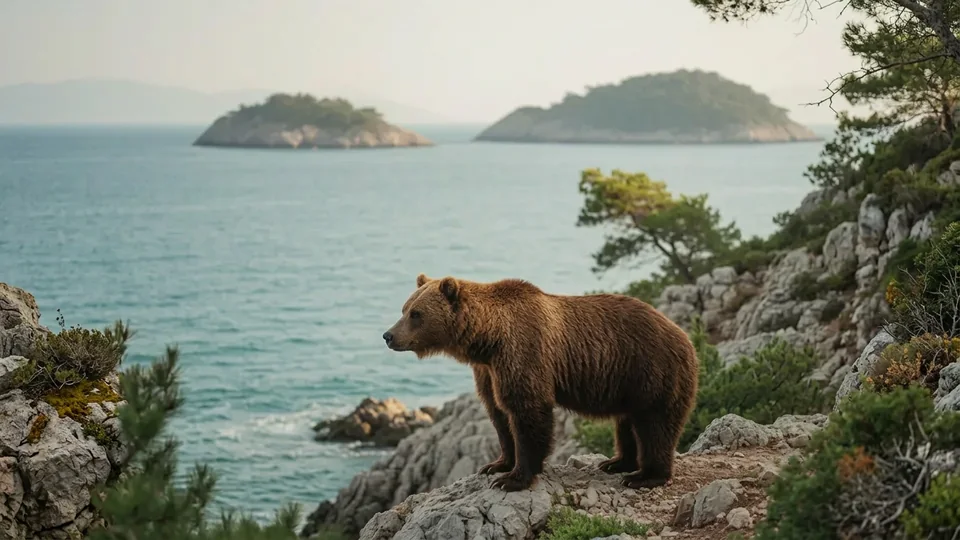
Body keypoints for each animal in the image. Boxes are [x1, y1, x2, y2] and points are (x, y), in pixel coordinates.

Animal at [382, 273, 699, 492]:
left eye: (416, 314)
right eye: (404, 308)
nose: (388, 335)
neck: (488, 339)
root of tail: (684, 335)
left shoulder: (523, 352)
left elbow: (527, 412)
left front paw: (514, 478)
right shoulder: (487, 371)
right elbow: (499, 415)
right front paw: (496, 465)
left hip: (652, 371)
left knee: (654, 424)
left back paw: (645, 476)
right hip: (627, 383)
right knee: (627, 423)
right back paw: (616, 462)